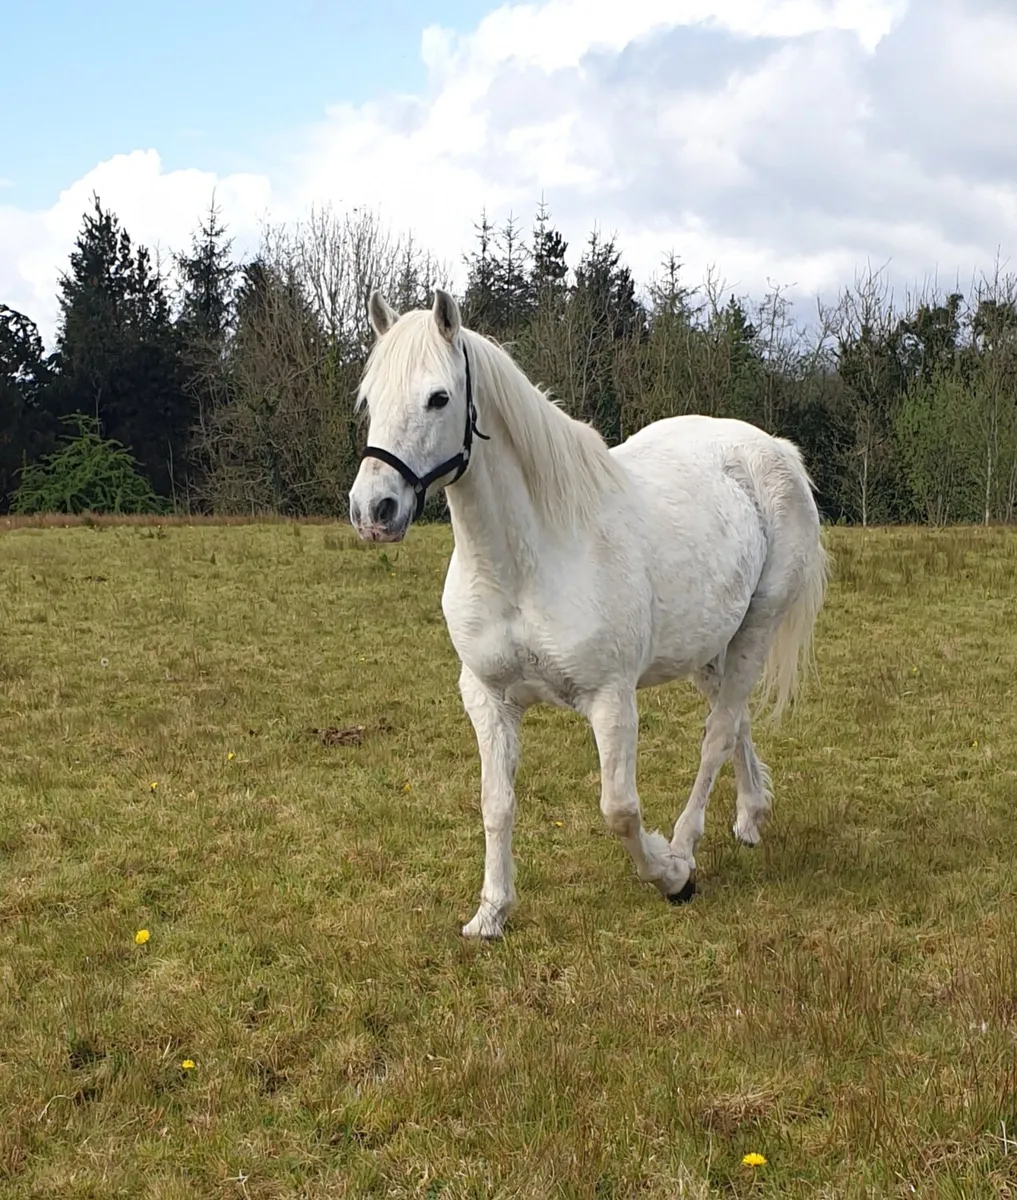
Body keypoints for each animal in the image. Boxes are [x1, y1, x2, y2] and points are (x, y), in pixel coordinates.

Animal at [349, 289, 827, 939]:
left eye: (438, 397)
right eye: (370, 399)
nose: (374, 509)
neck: (525, 563)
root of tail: (772, 450)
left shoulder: (610, 700)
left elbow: (619, 809)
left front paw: (670, 876)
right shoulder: (487, 698)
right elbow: (495, 803)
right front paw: (491, 912)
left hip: (756, 628)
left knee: (718, 735)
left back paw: (686, 847)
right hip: (707, 647)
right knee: (736, 721)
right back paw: (751, 817)